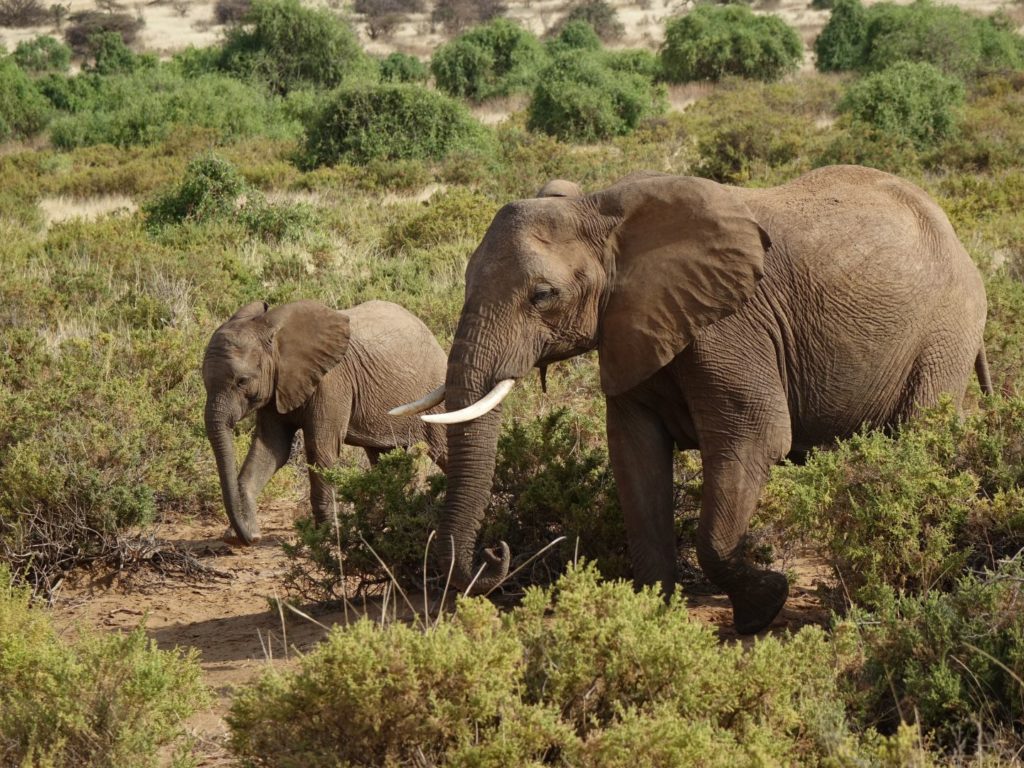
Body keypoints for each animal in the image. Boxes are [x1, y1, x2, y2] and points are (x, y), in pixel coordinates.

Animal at [201, 296, 446, 544]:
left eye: (242, 381)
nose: (251, 539)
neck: (272, 330)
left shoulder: (331, 382)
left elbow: (320, 448)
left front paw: (325, 537)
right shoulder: (276, 387)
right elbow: (271, 449)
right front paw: (238, 536)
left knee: (442, 449)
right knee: (383, 456)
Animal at [393, 165, 991, 634]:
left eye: (543, 296)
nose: (495, 555)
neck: (603, 212)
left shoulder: (731, 327)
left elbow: (754, 441)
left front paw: (764, 606)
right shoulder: (631, 329)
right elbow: (635, 461)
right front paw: (651, 618)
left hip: (947, 329)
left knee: (920, 429)